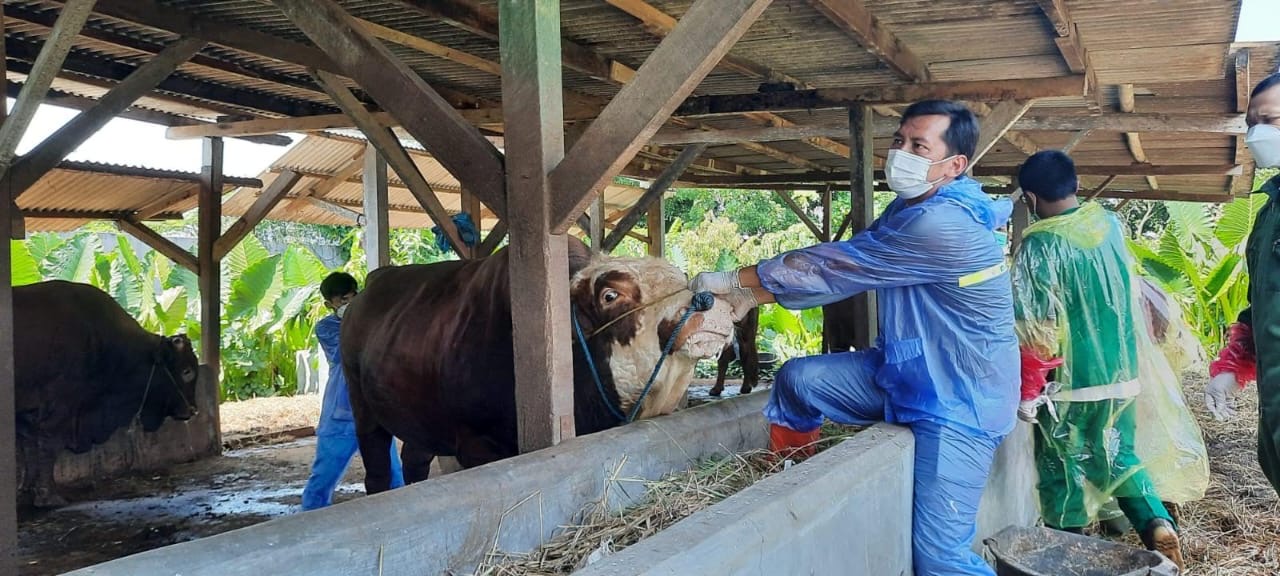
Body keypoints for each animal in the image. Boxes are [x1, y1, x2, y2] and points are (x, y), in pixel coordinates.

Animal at [15, 281, 199, 506]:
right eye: (187, 371)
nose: (192, 409)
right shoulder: (61, 407)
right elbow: (48, 444)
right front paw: (49, 497)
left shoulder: (27, 413)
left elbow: (28, 447)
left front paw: (25, 491)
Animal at [340, 236, 737, 491]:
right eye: (610, 295)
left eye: (682, 279)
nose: (710, 304)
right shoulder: (476, 443)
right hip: (363, 409)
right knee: (377, 469)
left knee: (414, 459)